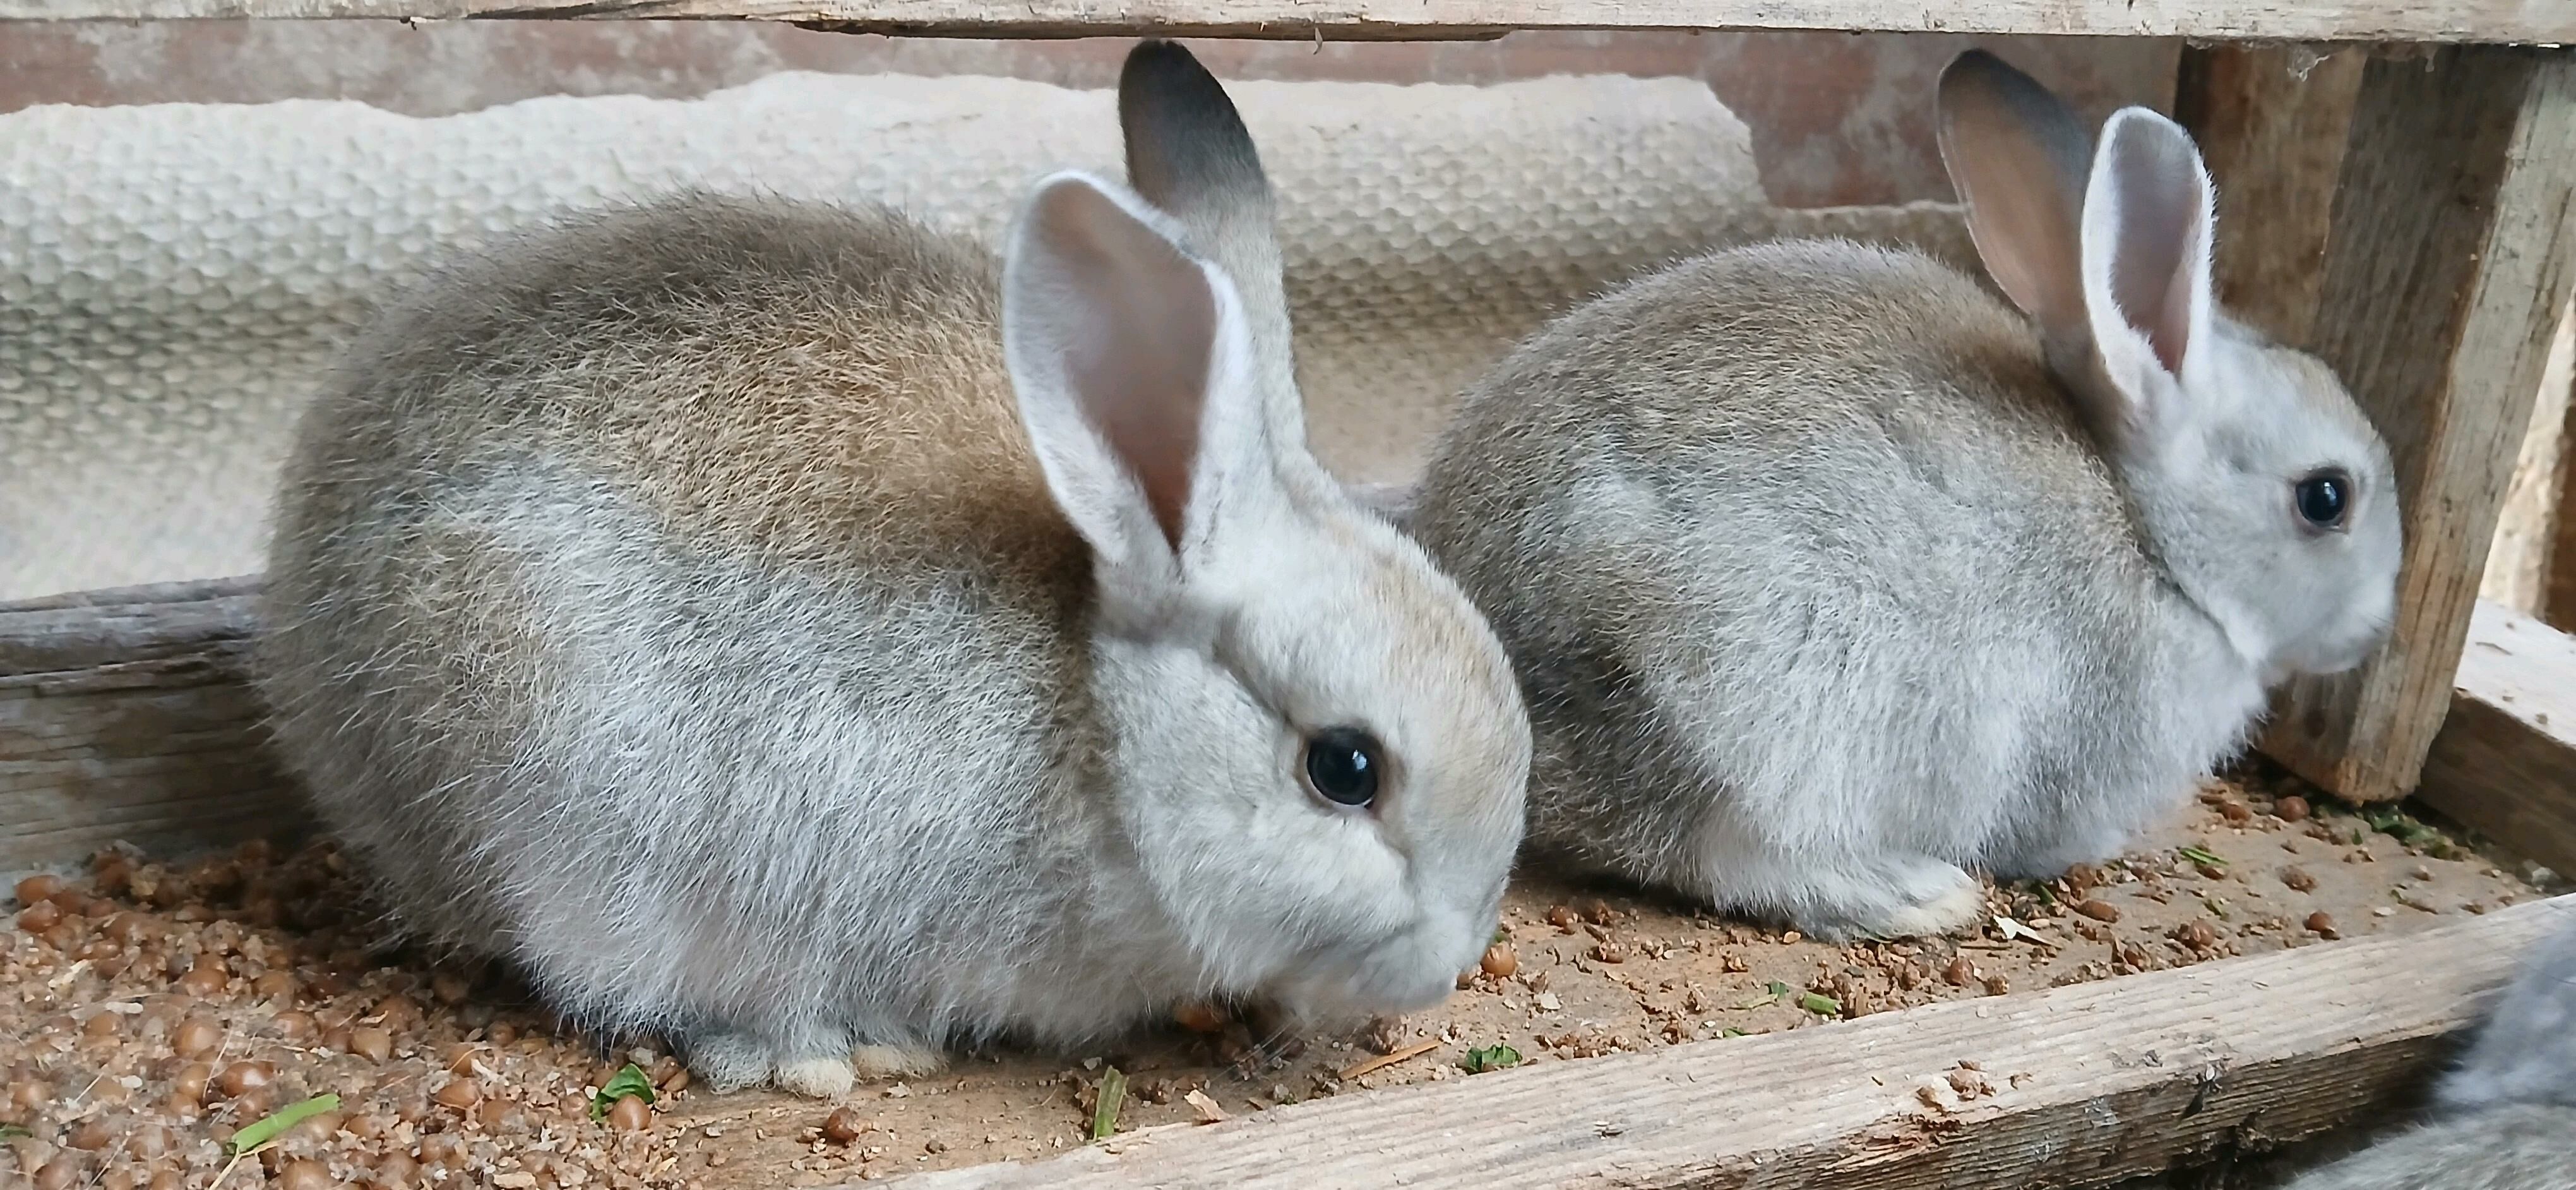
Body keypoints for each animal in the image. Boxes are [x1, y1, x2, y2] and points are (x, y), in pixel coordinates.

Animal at [1401, 44, 2400, 937]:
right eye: (2325, 499)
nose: (2375, 629)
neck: (2157, 541)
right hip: (1749, 696)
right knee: (1726, 855)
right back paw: (1917, 896)